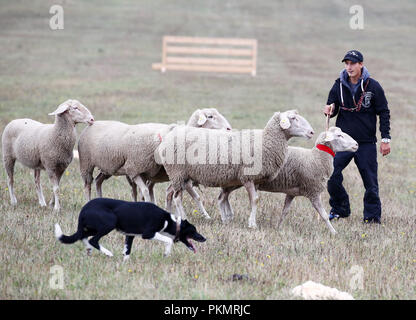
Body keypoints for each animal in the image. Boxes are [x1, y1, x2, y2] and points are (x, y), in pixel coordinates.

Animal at [78, 108, 232, 218]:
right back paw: (88, 203)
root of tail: (93, 124)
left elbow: (195, 196)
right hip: (87, 164)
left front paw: (205, 216)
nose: (229, 129)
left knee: (98, 181)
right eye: (210, 116)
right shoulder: (139, 170)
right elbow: (150, 193)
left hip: (108, 168)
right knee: (88, 185)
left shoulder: (176, 176)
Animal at [158, 110, 314, 228]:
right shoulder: (248, 177)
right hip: (177, 172)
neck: (265, 141)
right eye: (293, 118)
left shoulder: (256, 180)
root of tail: (168, 137)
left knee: (173, 194)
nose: (312, 132)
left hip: (182, 175)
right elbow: (255, 200)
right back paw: (183, 218)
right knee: (177, 197)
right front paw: (252, 224)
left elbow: (253, 199)